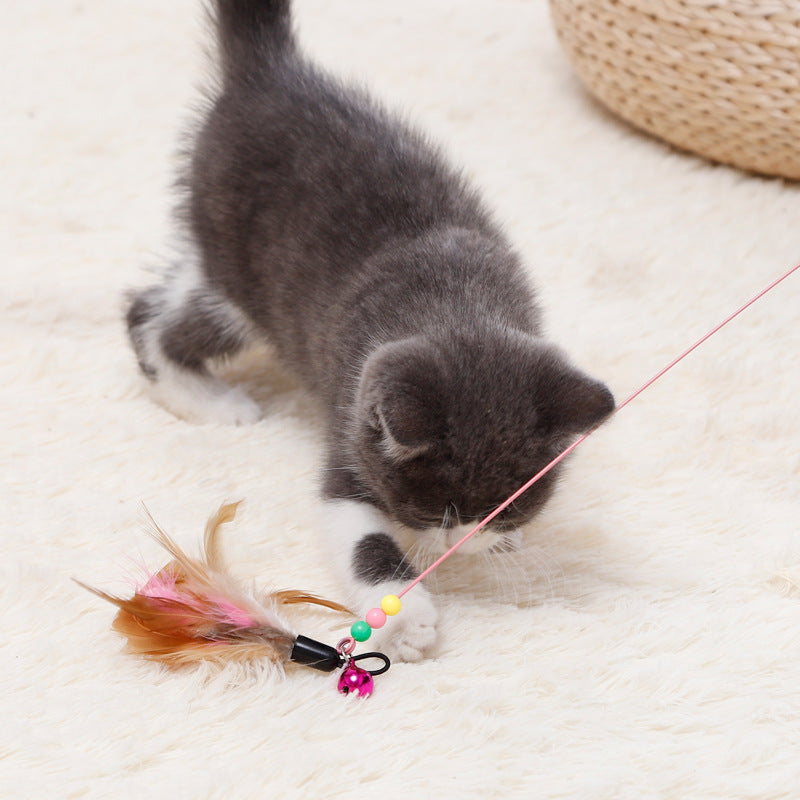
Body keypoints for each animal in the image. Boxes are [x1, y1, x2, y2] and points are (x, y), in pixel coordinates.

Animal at [126, 1, 612, 664]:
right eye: (436, 507)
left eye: (512, 504)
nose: (468, 540)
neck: (455, 304)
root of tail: (267, 68)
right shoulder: (352, 424)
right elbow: (359, 535)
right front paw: (406, 620)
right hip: (239, 274)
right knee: (153, 314)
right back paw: (207, 398)